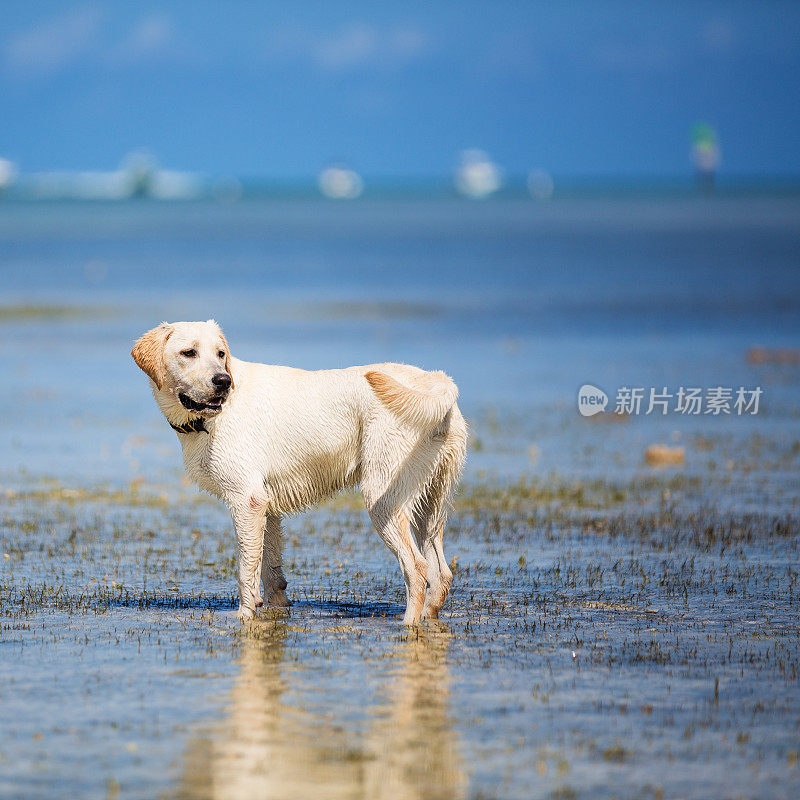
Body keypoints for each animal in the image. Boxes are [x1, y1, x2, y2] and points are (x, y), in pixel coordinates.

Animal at [132, 322, 466, 620]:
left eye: (220, 353)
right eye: (188, 353)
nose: (223, 381)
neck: (208, 420)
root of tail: (437, 382)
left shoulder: (246, 500)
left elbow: (246, 570)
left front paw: (244, 615)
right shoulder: (265, 506)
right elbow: (270, 571)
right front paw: (275, 609)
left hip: (382, 498)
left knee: (417, 570)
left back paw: (408, 625)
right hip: (430, 504)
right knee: (441, 574)